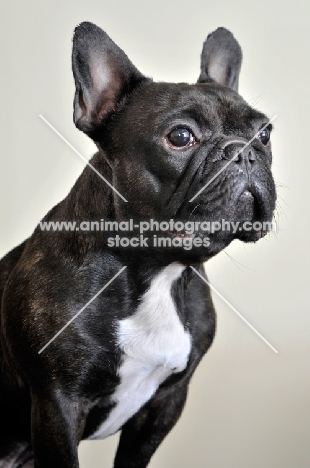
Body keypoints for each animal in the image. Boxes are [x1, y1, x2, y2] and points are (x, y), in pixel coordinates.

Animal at [0, 22, 276, 468]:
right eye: (180, 136)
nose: (245, 151)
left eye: (265, 133)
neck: (157, 270)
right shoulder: (56, 406)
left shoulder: (165, 403)